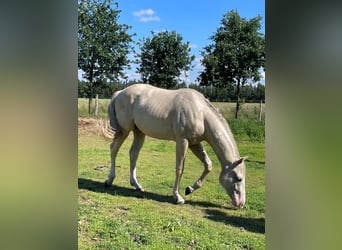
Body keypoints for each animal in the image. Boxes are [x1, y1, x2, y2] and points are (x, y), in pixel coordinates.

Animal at [101, 83, 246, 207]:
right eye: (239, 178)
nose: (241, 203)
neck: (201, 113)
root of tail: (120, 93)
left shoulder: (195, 143)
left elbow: (208, 164)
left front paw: (190, 189)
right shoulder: (182, 141)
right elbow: (179, 169)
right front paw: (178, 197)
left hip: (139, 132)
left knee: (133, 154)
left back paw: (136, 185)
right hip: (124, 130)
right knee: (114, 149)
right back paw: (109, 180)